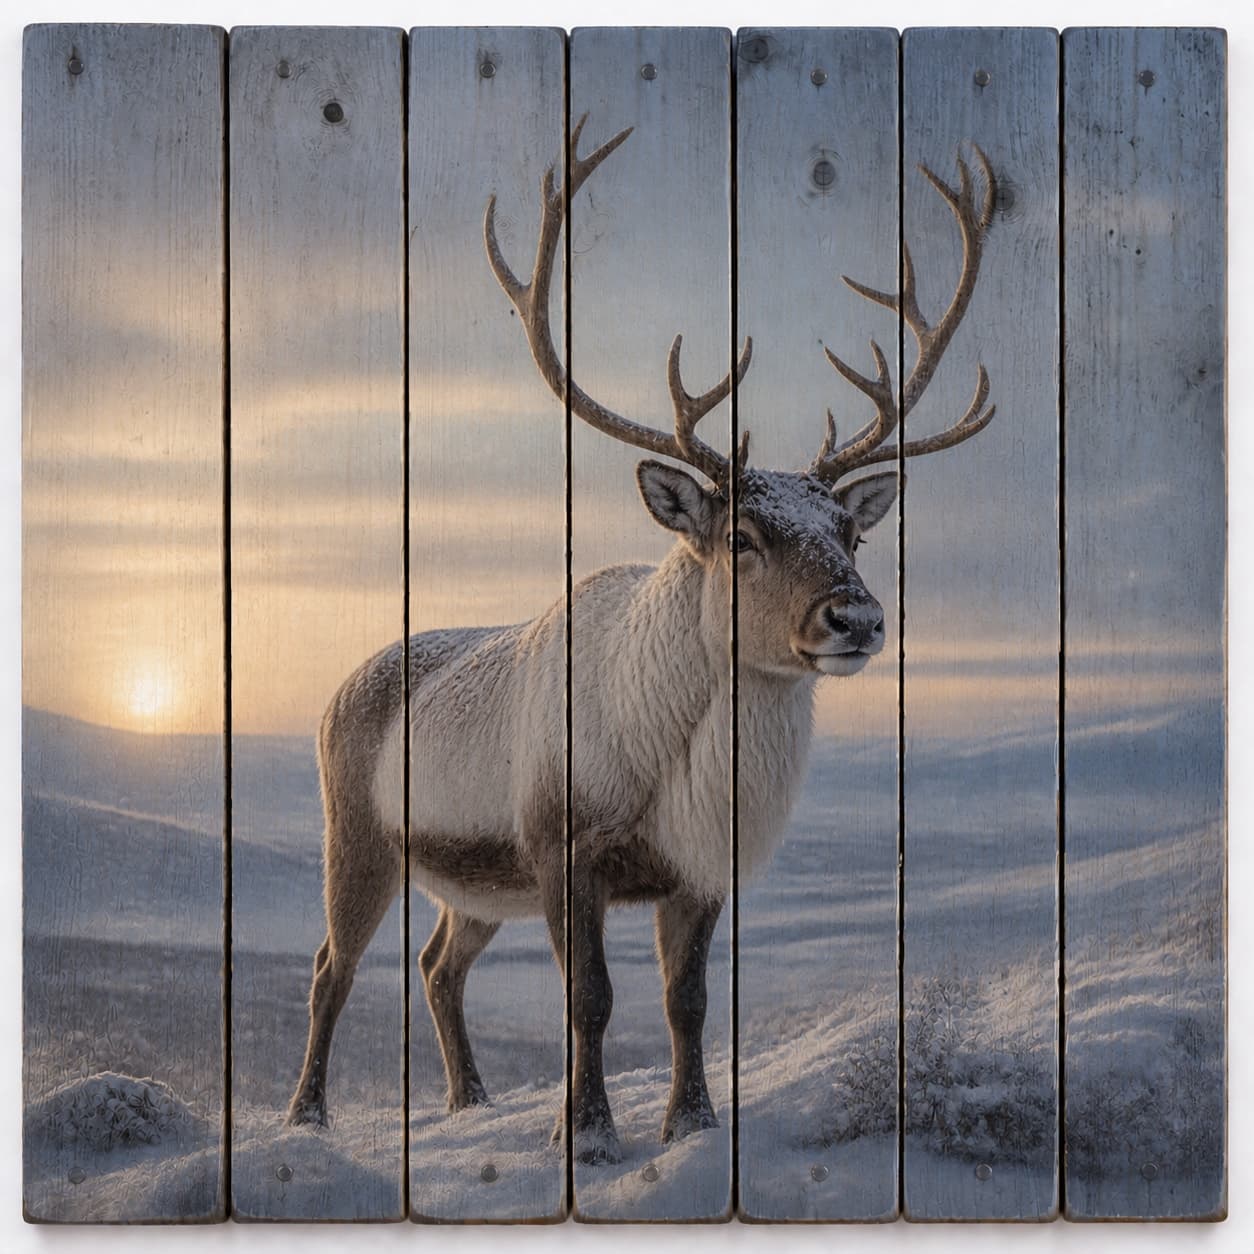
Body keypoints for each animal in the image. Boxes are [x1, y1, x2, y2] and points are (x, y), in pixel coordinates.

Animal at [287, 116, 997, 1166]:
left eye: (852, 532)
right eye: (742, 535)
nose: (857, 619)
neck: (669, 768)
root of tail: (336, 691)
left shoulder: (698, 869)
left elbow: (685, 1001)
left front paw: (690, 1122)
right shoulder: (559, 846)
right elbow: (590, 998)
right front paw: (583, 1133)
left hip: (472, 884)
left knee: (437, 962)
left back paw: (468, 1100)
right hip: (360, 835)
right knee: (332, 964)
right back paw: (307, 1115)